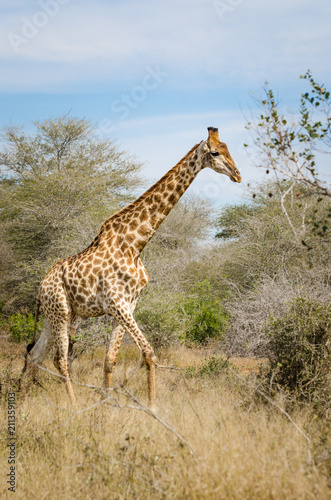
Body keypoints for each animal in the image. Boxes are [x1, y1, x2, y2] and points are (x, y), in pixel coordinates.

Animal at [22, 127, 241, 408]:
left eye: (228, 149)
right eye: (214, 152)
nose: (237, 174)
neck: (135, 245)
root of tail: (41, 286)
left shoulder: (128, 304)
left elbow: (110, 359)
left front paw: (105, 403)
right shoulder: (118, 303)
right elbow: (149, 353)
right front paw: (152, 406)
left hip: (57, 315)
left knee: (34, 355)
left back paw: (22, 399)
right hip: (60, 311)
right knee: (59, 360)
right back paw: (73, 405)